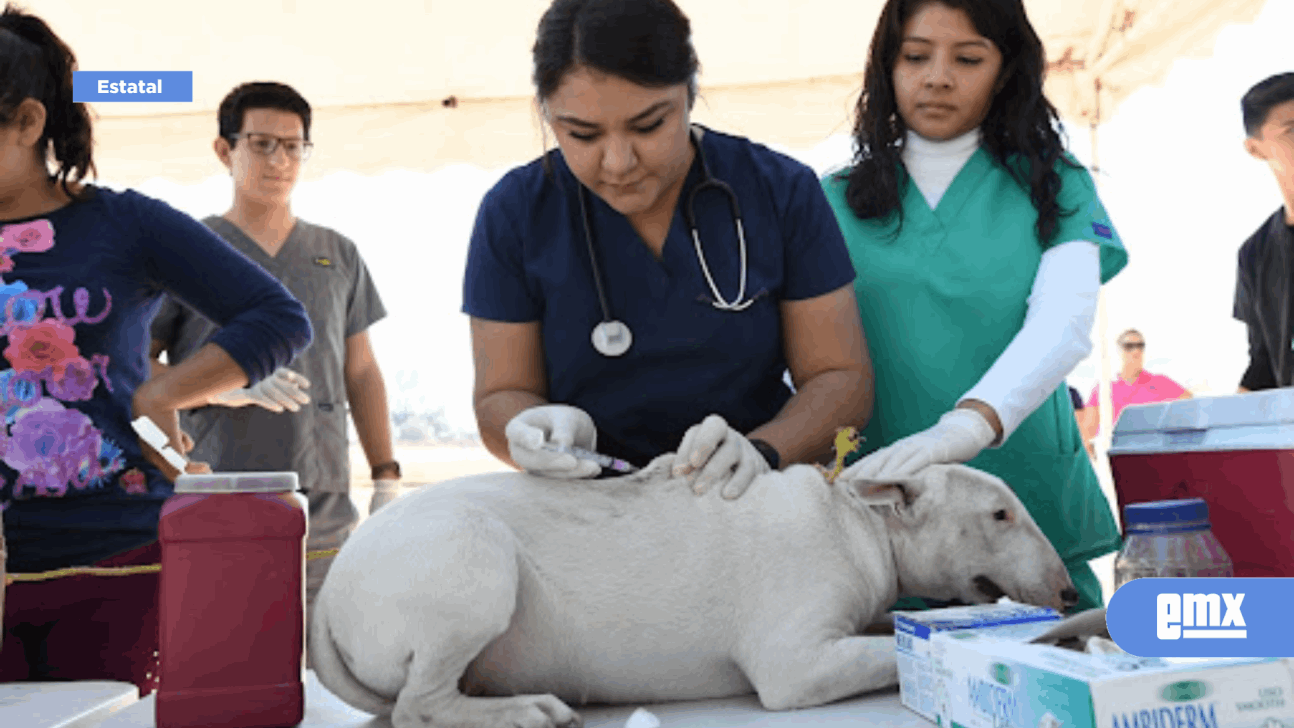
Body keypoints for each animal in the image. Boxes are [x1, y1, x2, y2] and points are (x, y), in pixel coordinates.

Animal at [307, 457, 1076, 724]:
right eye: (1000, 514)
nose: (1068, 592)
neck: (858, 520)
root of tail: (330, 589)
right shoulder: (795, 658)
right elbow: (867, 651)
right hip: (466, 559)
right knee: (418, 705)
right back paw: (525, 711)